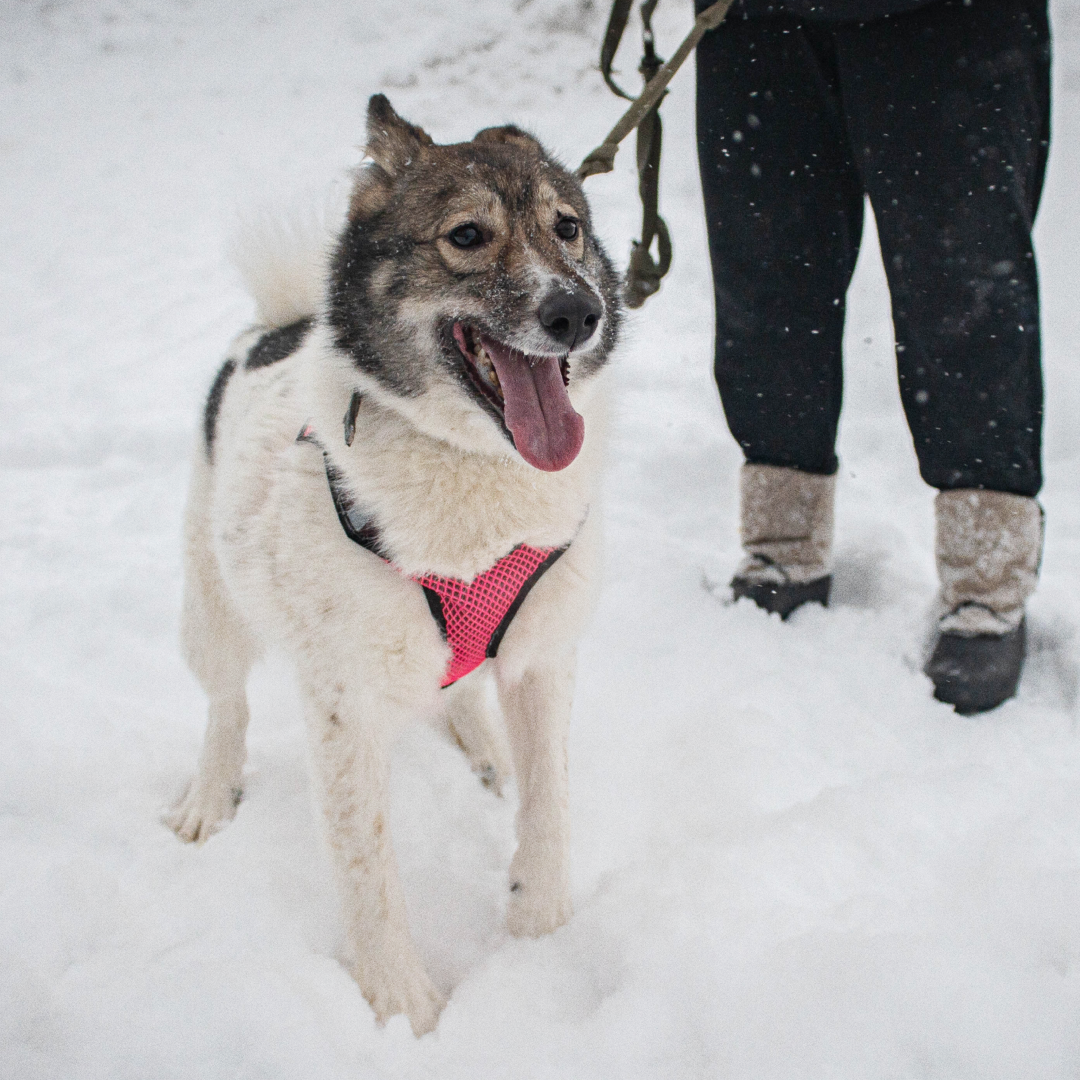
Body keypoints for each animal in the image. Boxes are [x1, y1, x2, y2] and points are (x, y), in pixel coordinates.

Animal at [168, 97, 626, 1032]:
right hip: (211, 599)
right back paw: (209, 793)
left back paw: (484, 749)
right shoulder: (344, 709)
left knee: (463, 695)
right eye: (466, 235)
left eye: (567, 227)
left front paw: (540, 923)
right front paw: (401, 1009)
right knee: (226, 703)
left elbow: (550, 802)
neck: (470, 470)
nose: (578, 311)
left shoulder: (544, 656)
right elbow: (368, 870)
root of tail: (271, 328)